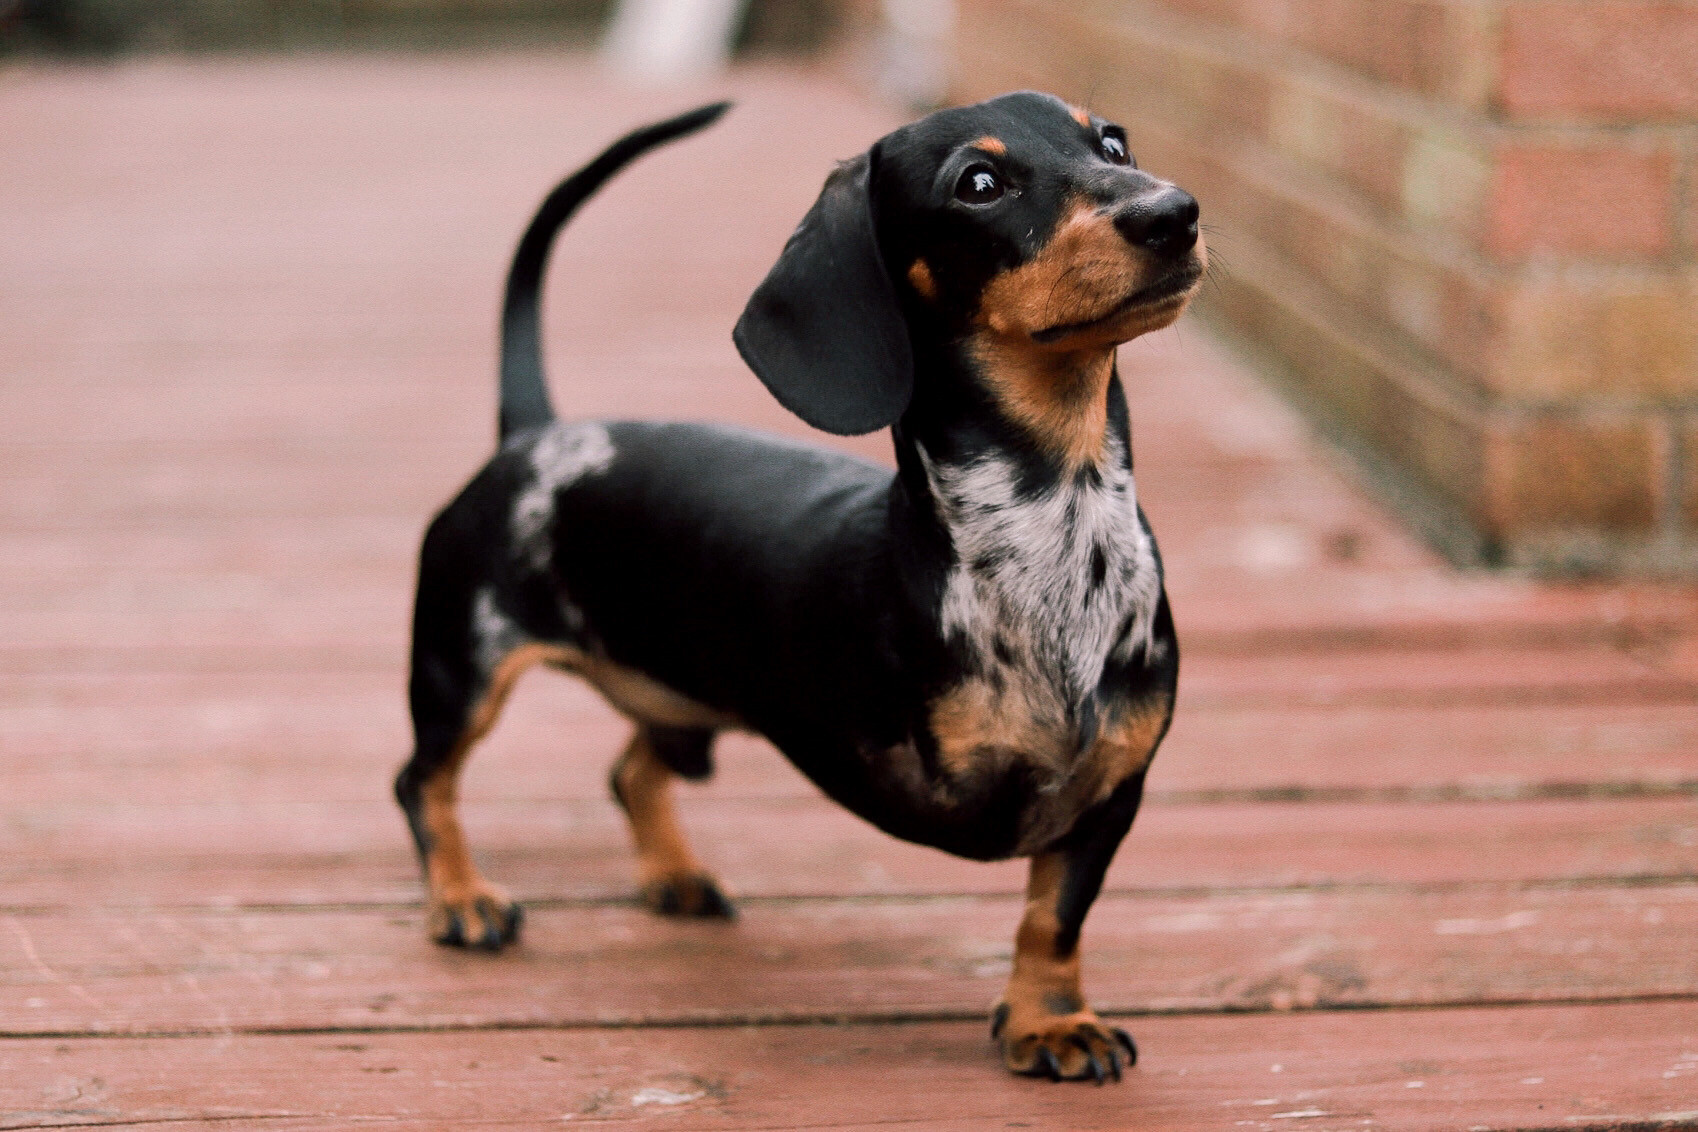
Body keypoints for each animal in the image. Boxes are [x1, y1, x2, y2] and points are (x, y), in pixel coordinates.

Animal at [392, 92, 1202, 1086]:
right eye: (979, 183)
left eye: (1112, 143)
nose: (1174, 213)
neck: (1058, 527)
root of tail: (537, 435)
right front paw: (1049, 1025)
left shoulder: (1111, 790)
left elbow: (1055, 918)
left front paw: (1053, 1020)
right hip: (460, 668)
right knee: (422, 781)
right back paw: (462, 897)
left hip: (691, 695)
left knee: (630, 771)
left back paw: (673, 876)